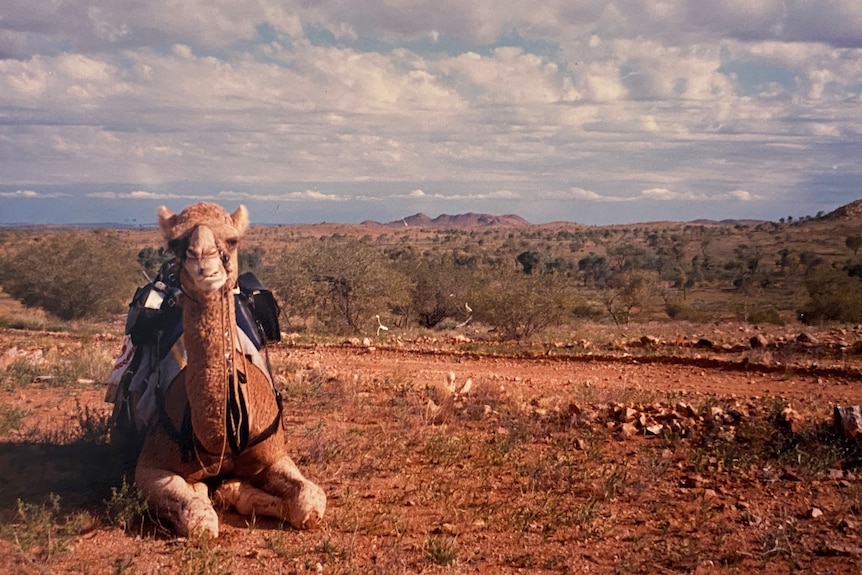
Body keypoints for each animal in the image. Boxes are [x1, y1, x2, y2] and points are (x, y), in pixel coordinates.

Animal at [129, 204, 328, 540]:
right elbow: (199, 520)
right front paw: (208, 493)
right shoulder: (149, 464)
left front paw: (233, 489)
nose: (204, 265)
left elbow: (309, 502)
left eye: (233, 240)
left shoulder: (275, 453)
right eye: (175, 242)